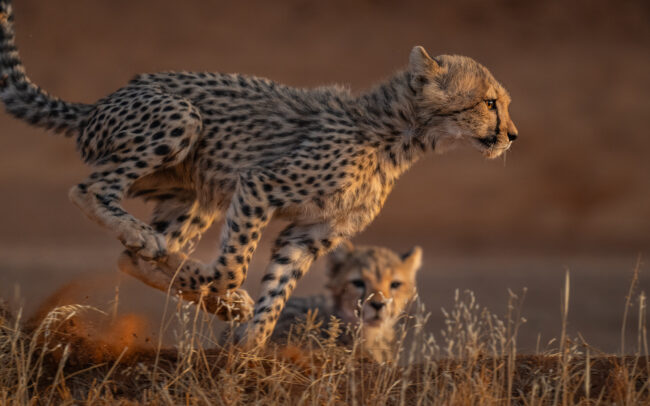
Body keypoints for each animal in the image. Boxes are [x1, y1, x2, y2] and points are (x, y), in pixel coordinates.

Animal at [0, 0, 518, 348]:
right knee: (90, 192)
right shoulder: (260, 185)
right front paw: (221, 293)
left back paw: (188, 273)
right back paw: (163, 251)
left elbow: (277, 290)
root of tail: (96, 104)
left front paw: (250, 346)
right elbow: (233, 266)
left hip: (199, 196)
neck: (400, 137)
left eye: (503, 103)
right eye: (490, 102)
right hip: (181, 118)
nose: (512, 136)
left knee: (133, 258)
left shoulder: (309, 234)